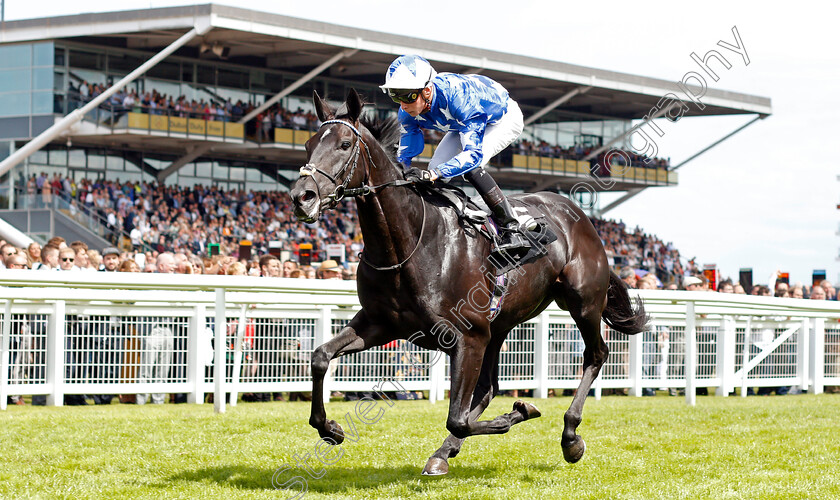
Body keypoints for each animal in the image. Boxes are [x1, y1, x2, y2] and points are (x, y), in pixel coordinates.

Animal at [290, 90, 648, 476]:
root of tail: (582, 217)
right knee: (488, 388)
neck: (409, 244)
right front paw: (330, 428)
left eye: (344, 144)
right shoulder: (380, 323)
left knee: (596, 354)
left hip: (582, 302)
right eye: (308, 144)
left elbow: (458, 419)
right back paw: (444, 453)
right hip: (501, 323)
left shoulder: (468, 336)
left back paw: (570, 436)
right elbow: (320, 357)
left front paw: (519, 412)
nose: (302, 196)